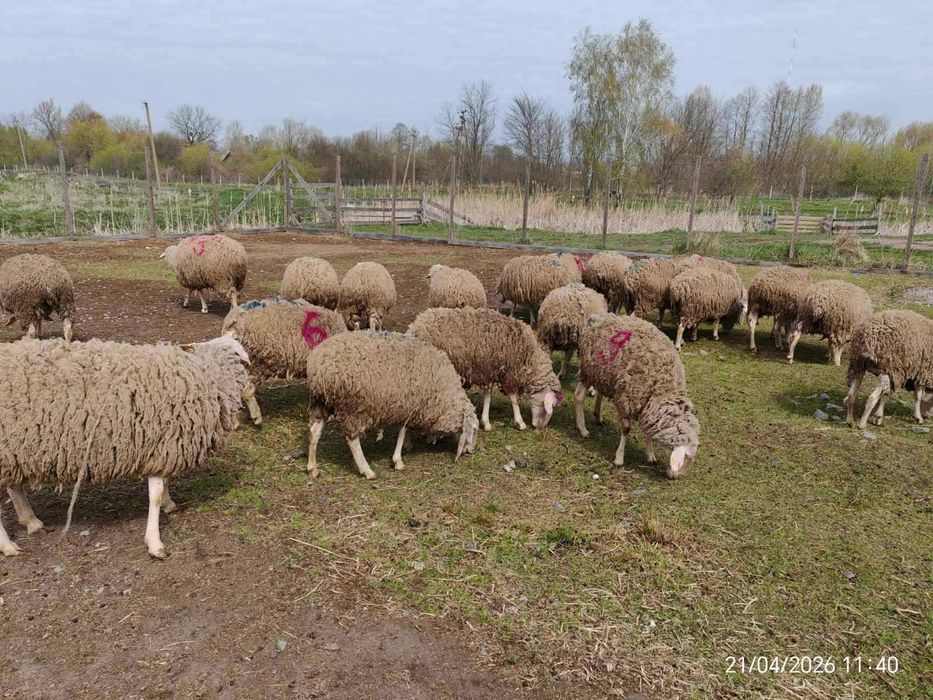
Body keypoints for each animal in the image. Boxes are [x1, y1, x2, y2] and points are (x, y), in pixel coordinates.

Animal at [0, 336, 250, 559]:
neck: (206, 374)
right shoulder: (160, 444)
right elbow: (155, 494)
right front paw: (155, 543)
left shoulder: (164, 448)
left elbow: (165, 483)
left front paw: (169, 504)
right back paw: (9, 546)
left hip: (14, 450)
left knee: (14, 486)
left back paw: (31, 521)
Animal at [305, 331, 479, 480]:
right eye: (475, 429)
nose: (471, 451)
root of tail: (318, 365)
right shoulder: (410, 406)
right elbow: (403, 431)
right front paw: (398, 460)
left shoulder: (408, 406)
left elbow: (403, 431)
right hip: (353, 407)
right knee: (352, 440)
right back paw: (367, 470)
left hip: (322, 402)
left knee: (314, 431)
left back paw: (312, 469)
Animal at [409, 307, 563, 432]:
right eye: (551, 406)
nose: (539, 428)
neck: (528, 355)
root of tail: (415, 326)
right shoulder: (504, 372)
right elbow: (512, 398)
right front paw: (519, 422)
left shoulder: (490, 371)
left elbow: (489, 396)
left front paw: (485, 421)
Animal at [574, 313, 700, 478]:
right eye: (685, 456)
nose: (674, 477)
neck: (662, 388)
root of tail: (598, 318)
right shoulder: (626, 400)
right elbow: (626, 430)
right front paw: (619, 458)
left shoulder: (648, 406)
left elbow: (649, 431)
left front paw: (650, 455)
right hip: (588, 369)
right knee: (578, 396)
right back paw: (583, 429)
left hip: (602, 374)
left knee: (599, 391)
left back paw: (598, 416)